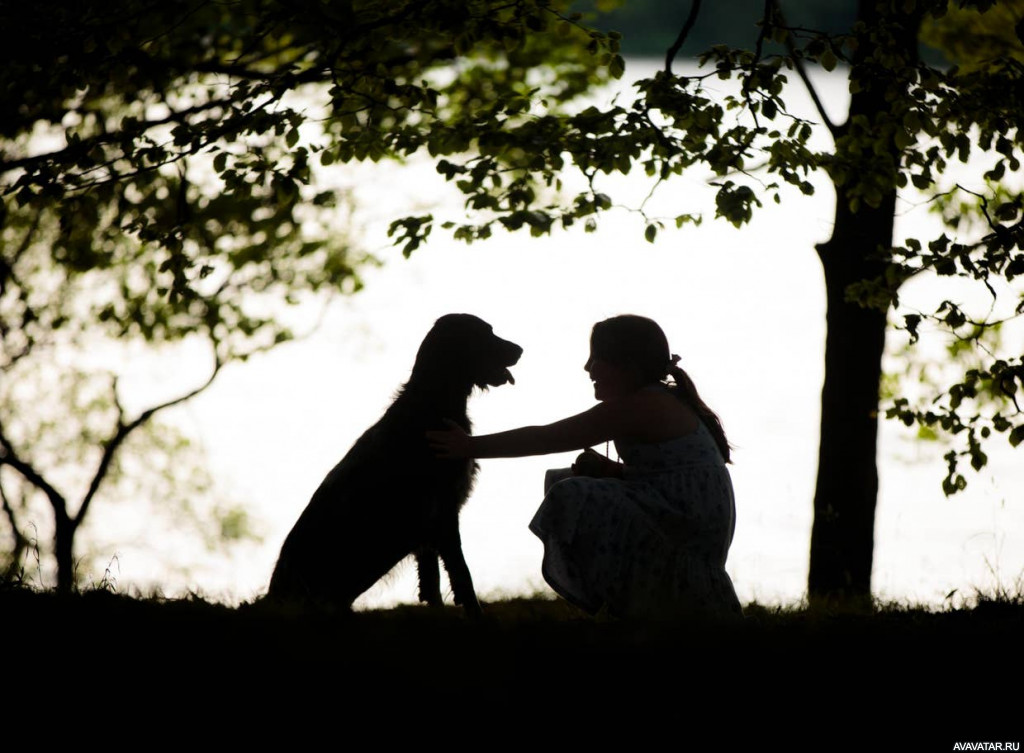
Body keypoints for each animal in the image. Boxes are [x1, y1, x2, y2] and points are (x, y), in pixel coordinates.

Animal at [266, 315, 520, 614]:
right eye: (486, 333)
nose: (520, 350)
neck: (432, 404)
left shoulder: (429, 526)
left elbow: (432, 581)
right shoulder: (443, 511)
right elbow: (461, 575)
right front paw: (477, 616)